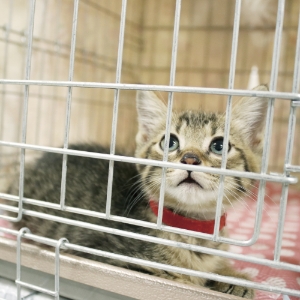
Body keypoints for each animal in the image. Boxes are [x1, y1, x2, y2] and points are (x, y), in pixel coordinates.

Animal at [6, 85, 268, 298]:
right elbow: (176, 278)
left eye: (219, 146)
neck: (191, 229)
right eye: (170, 142)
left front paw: (232, 277)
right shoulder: (105, 255)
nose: (190, 158)